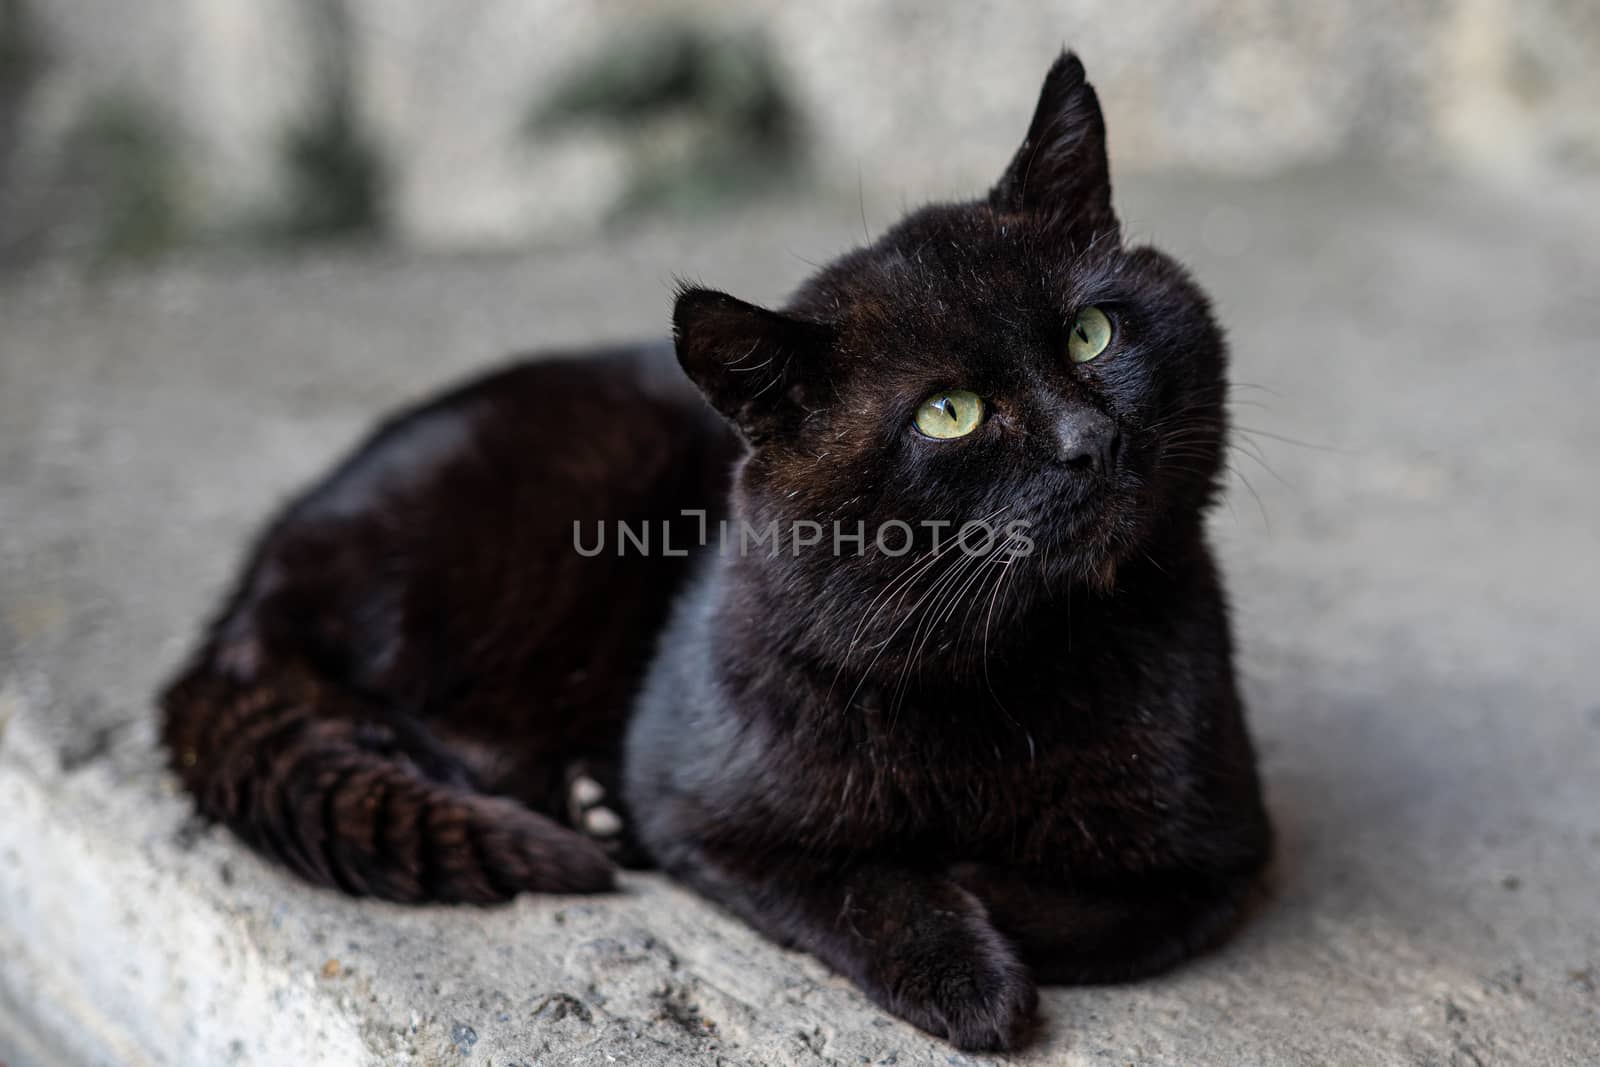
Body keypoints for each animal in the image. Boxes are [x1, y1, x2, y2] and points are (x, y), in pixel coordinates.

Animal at [159, 51, 1260, 1049]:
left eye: (1089, 333)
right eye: (948, 413)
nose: (1090, 441)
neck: (1016, 664)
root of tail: (262, 564)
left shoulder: (1227, 850)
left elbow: (1126, 907)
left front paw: (983, 884)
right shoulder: (704, 814)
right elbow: (855, 882)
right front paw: (967, 971)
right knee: (360, 698)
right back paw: (584, 806)